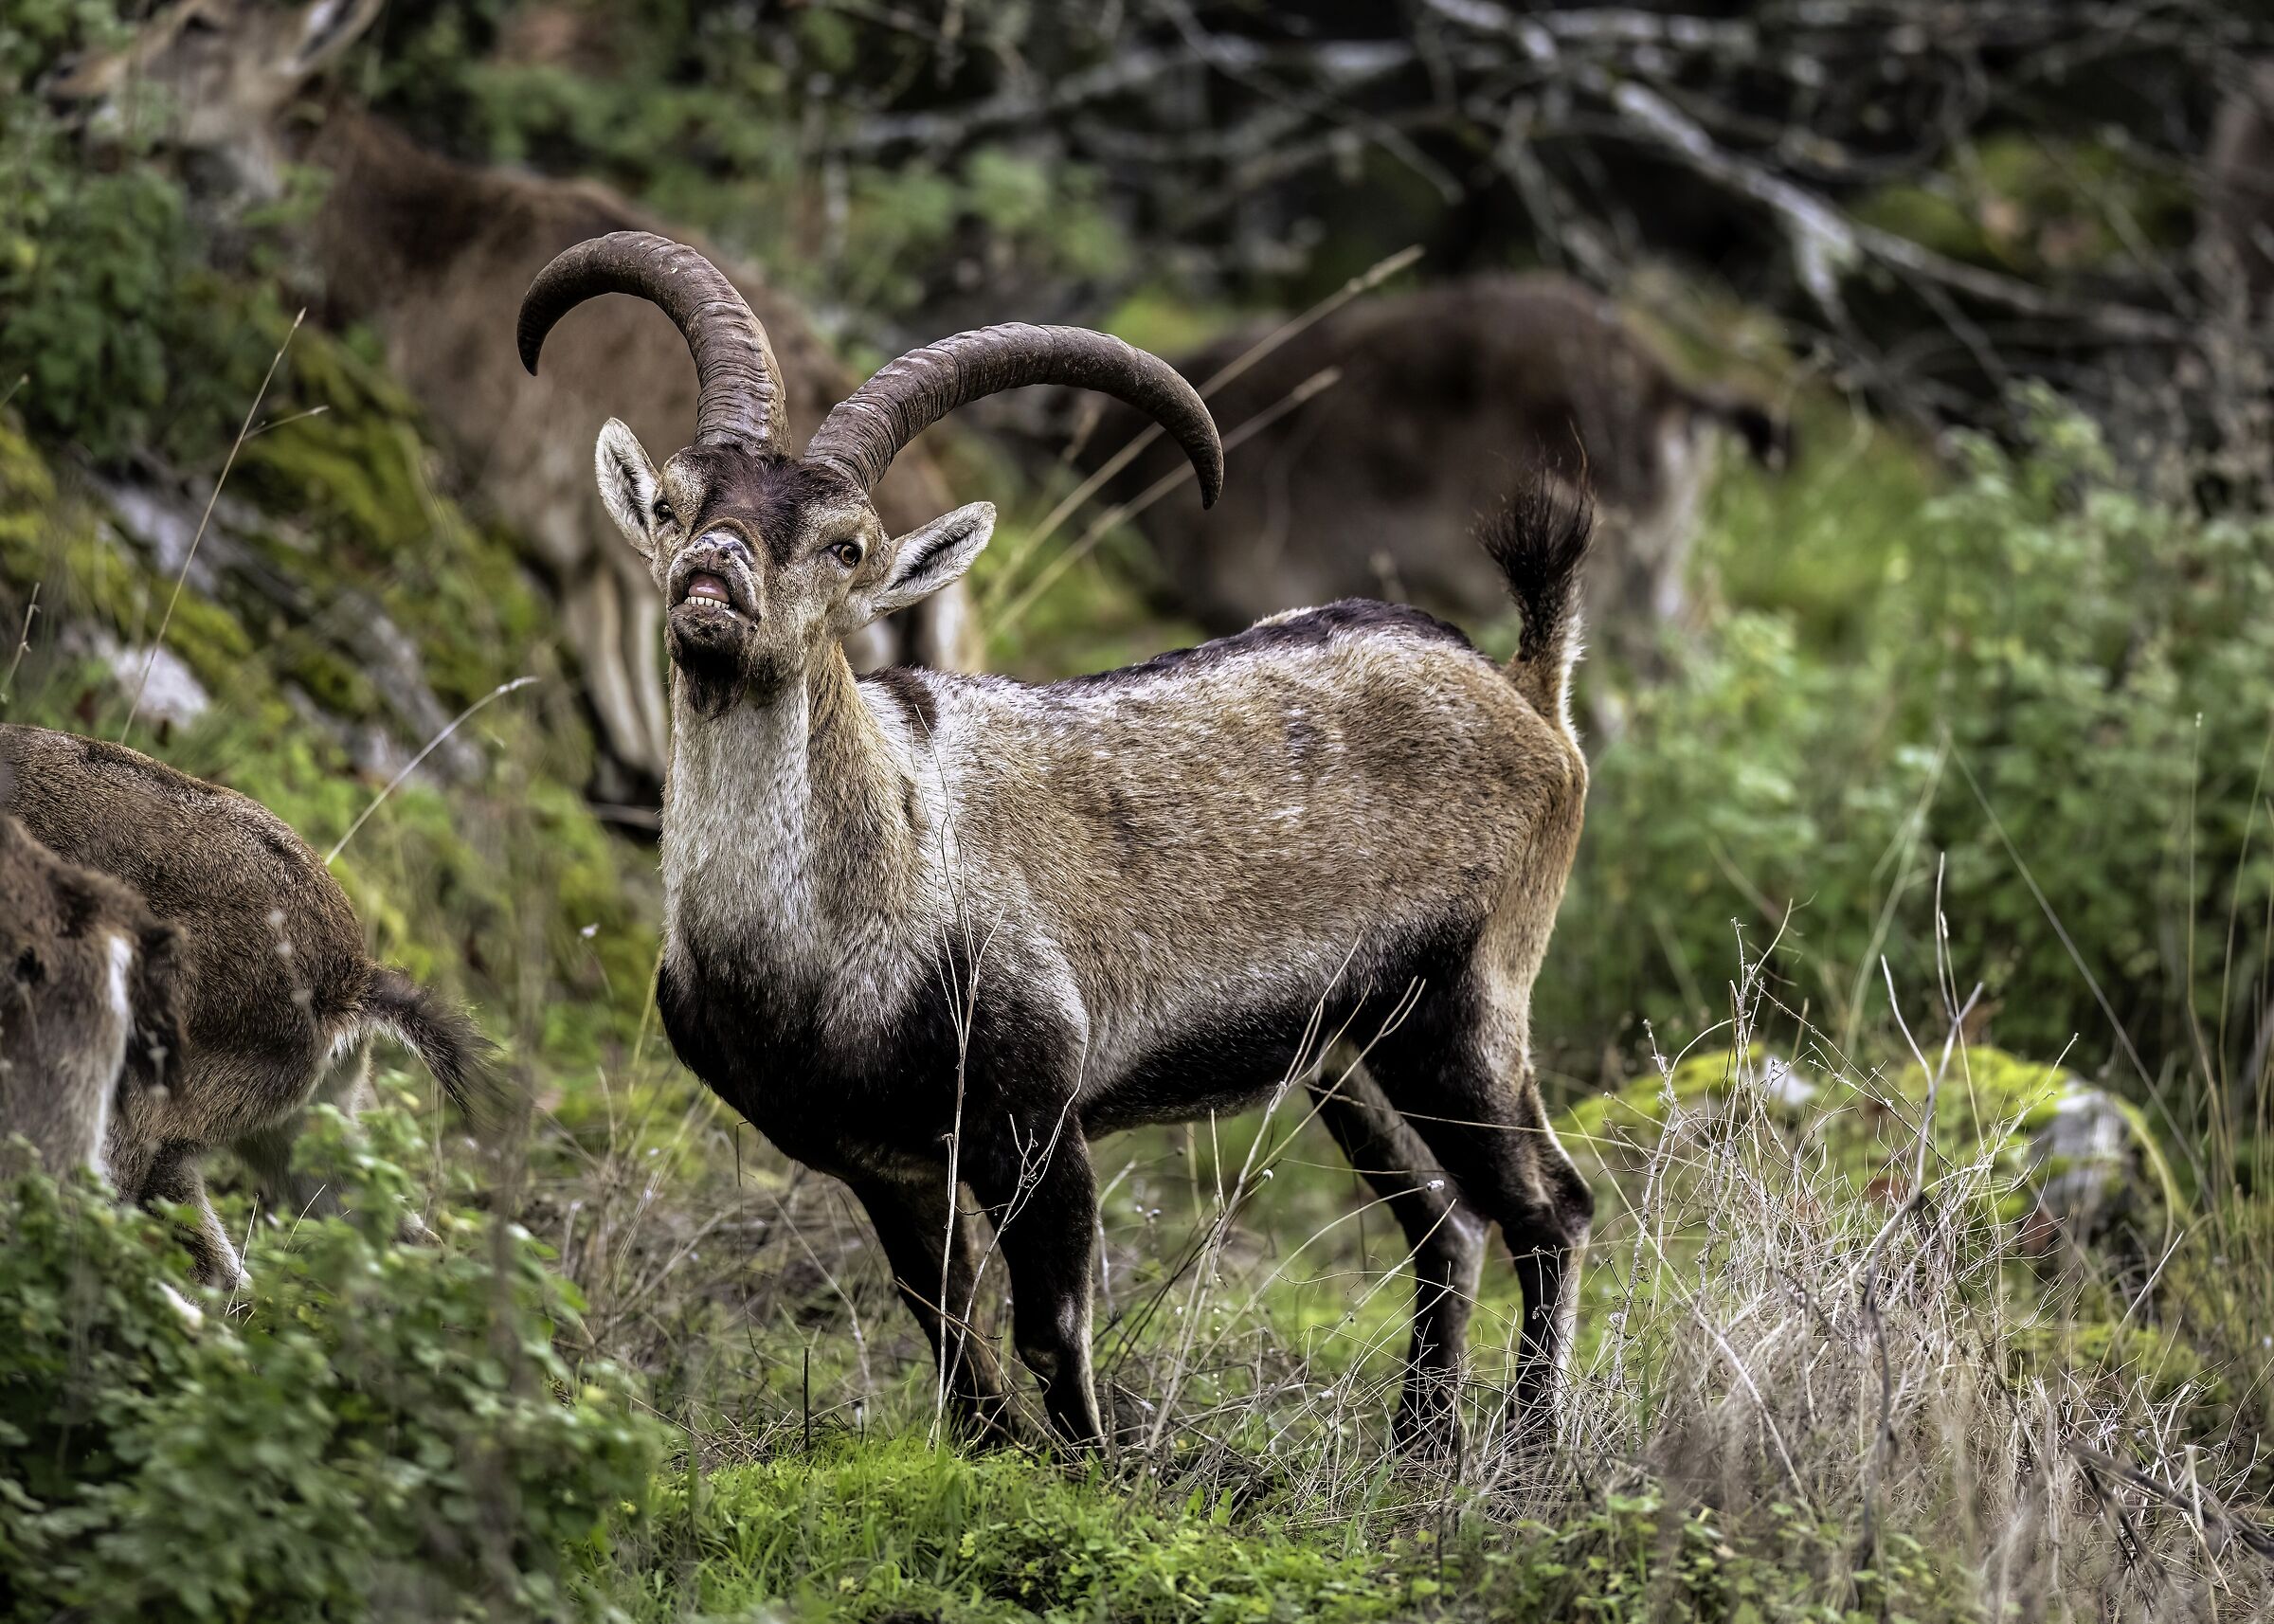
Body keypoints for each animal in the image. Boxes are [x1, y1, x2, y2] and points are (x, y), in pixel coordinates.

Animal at [518, 232, 1597, 1450]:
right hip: (1349, 1050)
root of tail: (1530, 692)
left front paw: (1097, 1468)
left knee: (1550, 1207)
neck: (841, 918)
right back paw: (1419, 1441)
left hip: (1467, 1003)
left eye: (847, 545)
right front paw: (993, 1457)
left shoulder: (1036, 1123)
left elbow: (1052, 1329)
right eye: (672, 497)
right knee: (1446, 1218)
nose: (714, 575)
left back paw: (1527, 1445)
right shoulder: (882, 1161)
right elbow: (950, 1337)